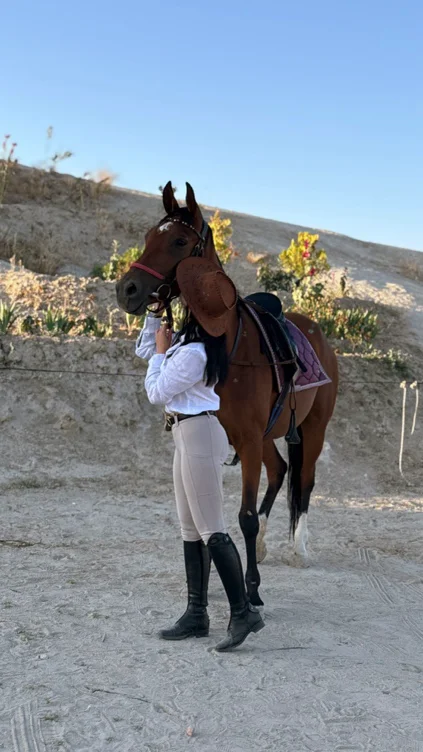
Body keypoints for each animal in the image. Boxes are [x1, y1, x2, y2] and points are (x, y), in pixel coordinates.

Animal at [116, 182, 338, 607]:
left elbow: (243, 518)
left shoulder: (247, 441)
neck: (229, 347)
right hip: (267, 436)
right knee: (280, 470)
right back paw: (267, 545)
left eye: (180, 241)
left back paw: (299, 548)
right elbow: (208, 515)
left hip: (313, 430)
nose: (127, 290)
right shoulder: (221, 441)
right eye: (149, 236)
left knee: (304, 480)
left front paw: (251, 591)